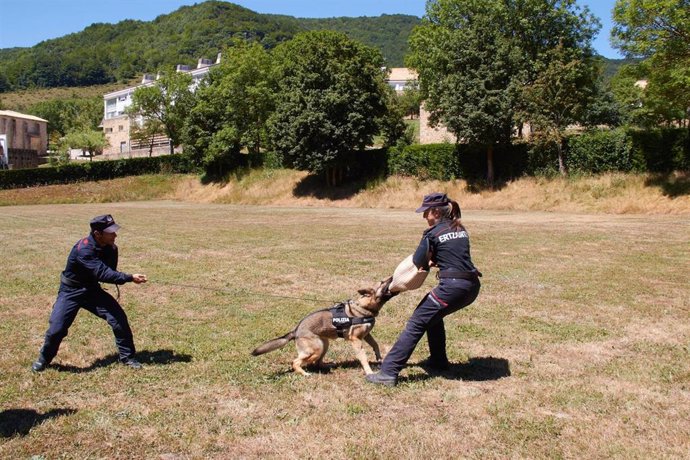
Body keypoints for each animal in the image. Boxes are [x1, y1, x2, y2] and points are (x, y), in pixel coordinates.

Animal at [251, 276, 392, 374]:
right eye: (382, 282)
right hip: (316, 349)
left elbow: (375, 345)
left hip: (324, 345)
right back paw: (304, 374)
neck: (363, 308)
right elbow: (363, 357)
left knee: (317, 363)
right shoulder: (356, 340)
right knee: (296, 362)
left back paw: (328, 366)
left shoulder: (367, 335)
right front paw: (369, 372)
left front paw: (379, 358)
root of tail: (296, 330)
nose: (392, 277)